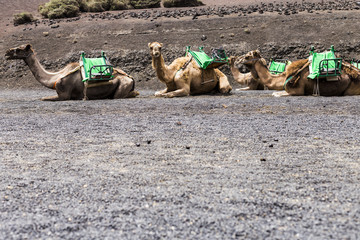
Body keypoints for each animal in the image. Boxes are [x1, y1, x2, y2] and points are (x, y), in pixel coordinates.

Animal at [5, 43, 138, 100]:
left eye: (19, 49)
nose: (7, 52)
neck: (55, 78)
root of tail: (131, 78)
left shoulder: (64, 94)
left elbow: (42, 98)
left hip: (123, 85)